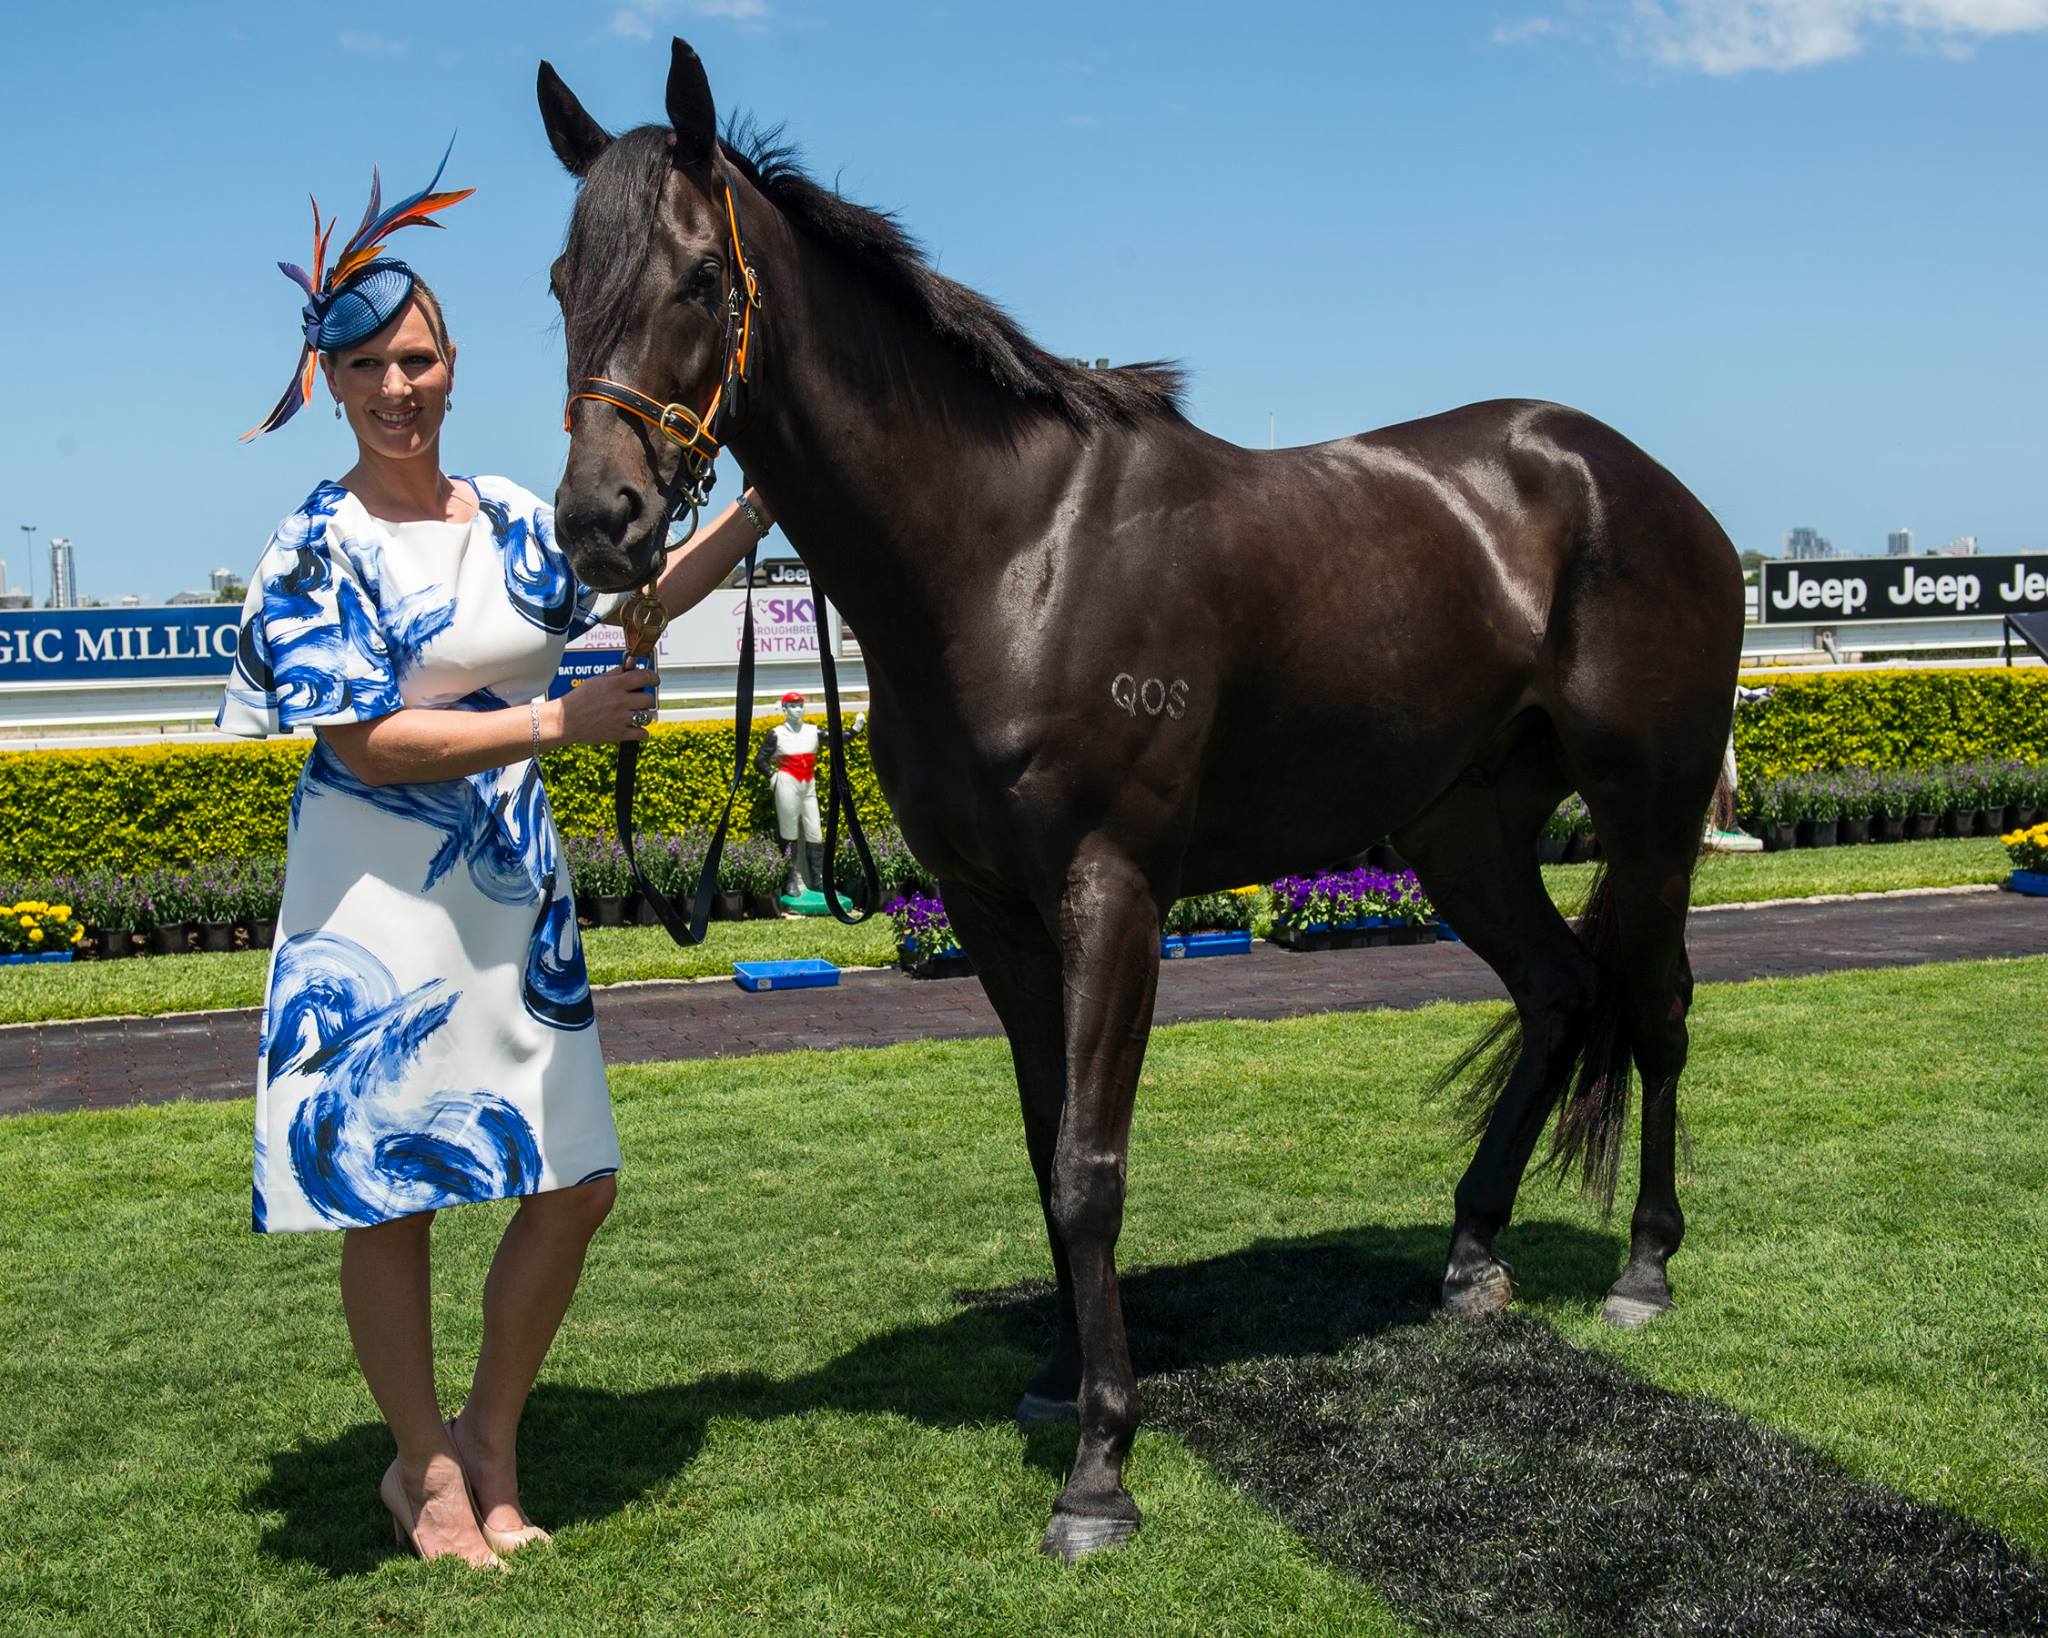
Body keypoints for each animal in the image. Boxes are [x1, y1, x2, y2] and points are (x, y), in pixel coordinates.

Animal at [532, 41, 1744, 1564]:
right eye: (560, 279)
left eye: (700, 277)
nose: (602, 521)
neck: (1008, 554)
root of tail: (1646, 485)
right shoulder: (992, 908)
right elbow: (1042, 1141)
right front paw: (1062, 1377)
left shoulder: (1111, 891)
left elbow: (1089, 1164)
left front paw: (1100, 1466)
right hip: (1458, 829)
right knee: (1559, 992)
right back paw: (1471, 1254)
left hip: (1652, 811)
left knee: (1655, 1004)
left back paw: (1644, 1263)